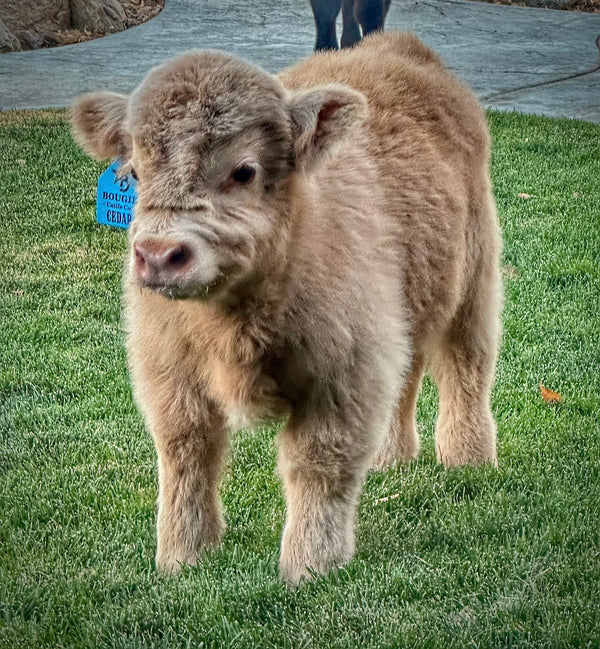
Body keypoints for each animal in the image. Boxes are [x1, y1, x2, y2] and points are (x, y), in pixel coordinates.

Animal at [70, 31, 502, 584]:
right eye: (136, 174)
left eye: (244, 170)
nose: (160, 256)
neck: (234, 326)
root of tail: (397, 46)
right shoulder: (169, 374)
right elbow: (187, 456)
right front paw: (182, 559)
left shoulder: (343, 375)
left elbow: (317, 464)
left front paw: (310, 565)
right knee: (409, 372)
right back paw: (390, 458)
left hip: (474, 280)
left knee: (466, 367)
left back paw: (468, 458)